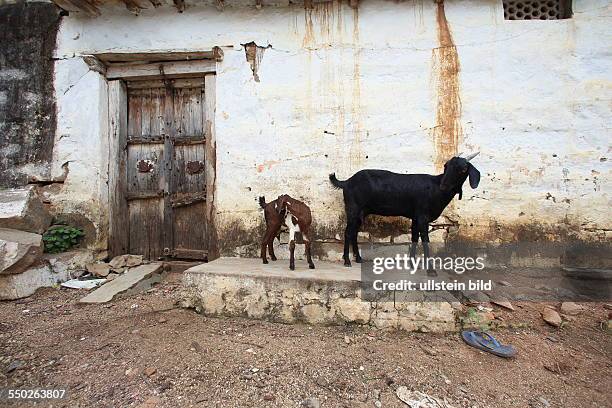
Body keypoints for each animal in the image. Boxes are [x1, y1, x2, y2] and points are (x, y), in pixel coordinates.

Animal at [328, 153, 480, 270]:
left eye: (463, 169)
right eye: (446, 166)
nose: (444, 186)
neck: (435, 189)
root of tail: (347, 182)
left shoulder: (416, 217)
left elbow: (414, 238)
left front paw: (412, 265)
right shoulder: (422, 216)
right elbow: (425, 240)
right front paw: (431, 271)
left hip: (361, 212)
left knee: (354, 232)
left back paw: (358, 259)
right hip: (353, 209)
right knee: (348, 232)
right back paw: (347, 261)